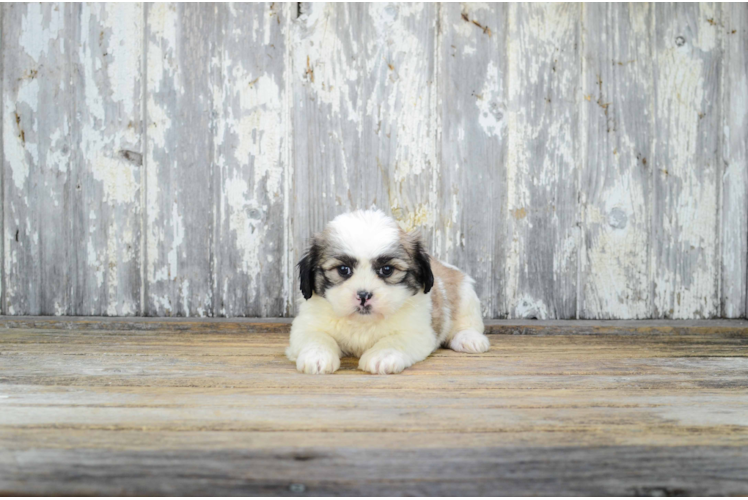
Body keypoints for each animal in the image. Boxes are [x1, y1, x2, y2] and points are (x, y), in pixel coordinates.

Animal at [284, 209, 488, 374]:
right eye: (343, 270)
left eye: (387, 270)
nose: (364, 295)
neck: (362, 323)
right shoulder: (306, 326)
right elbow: (316, 338)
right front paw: (317, 356)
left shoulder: (415, 331)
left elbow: (393, 340)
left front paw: (382, 357)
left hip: (466, 295)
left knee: (467, 323)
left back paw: (469, 339)